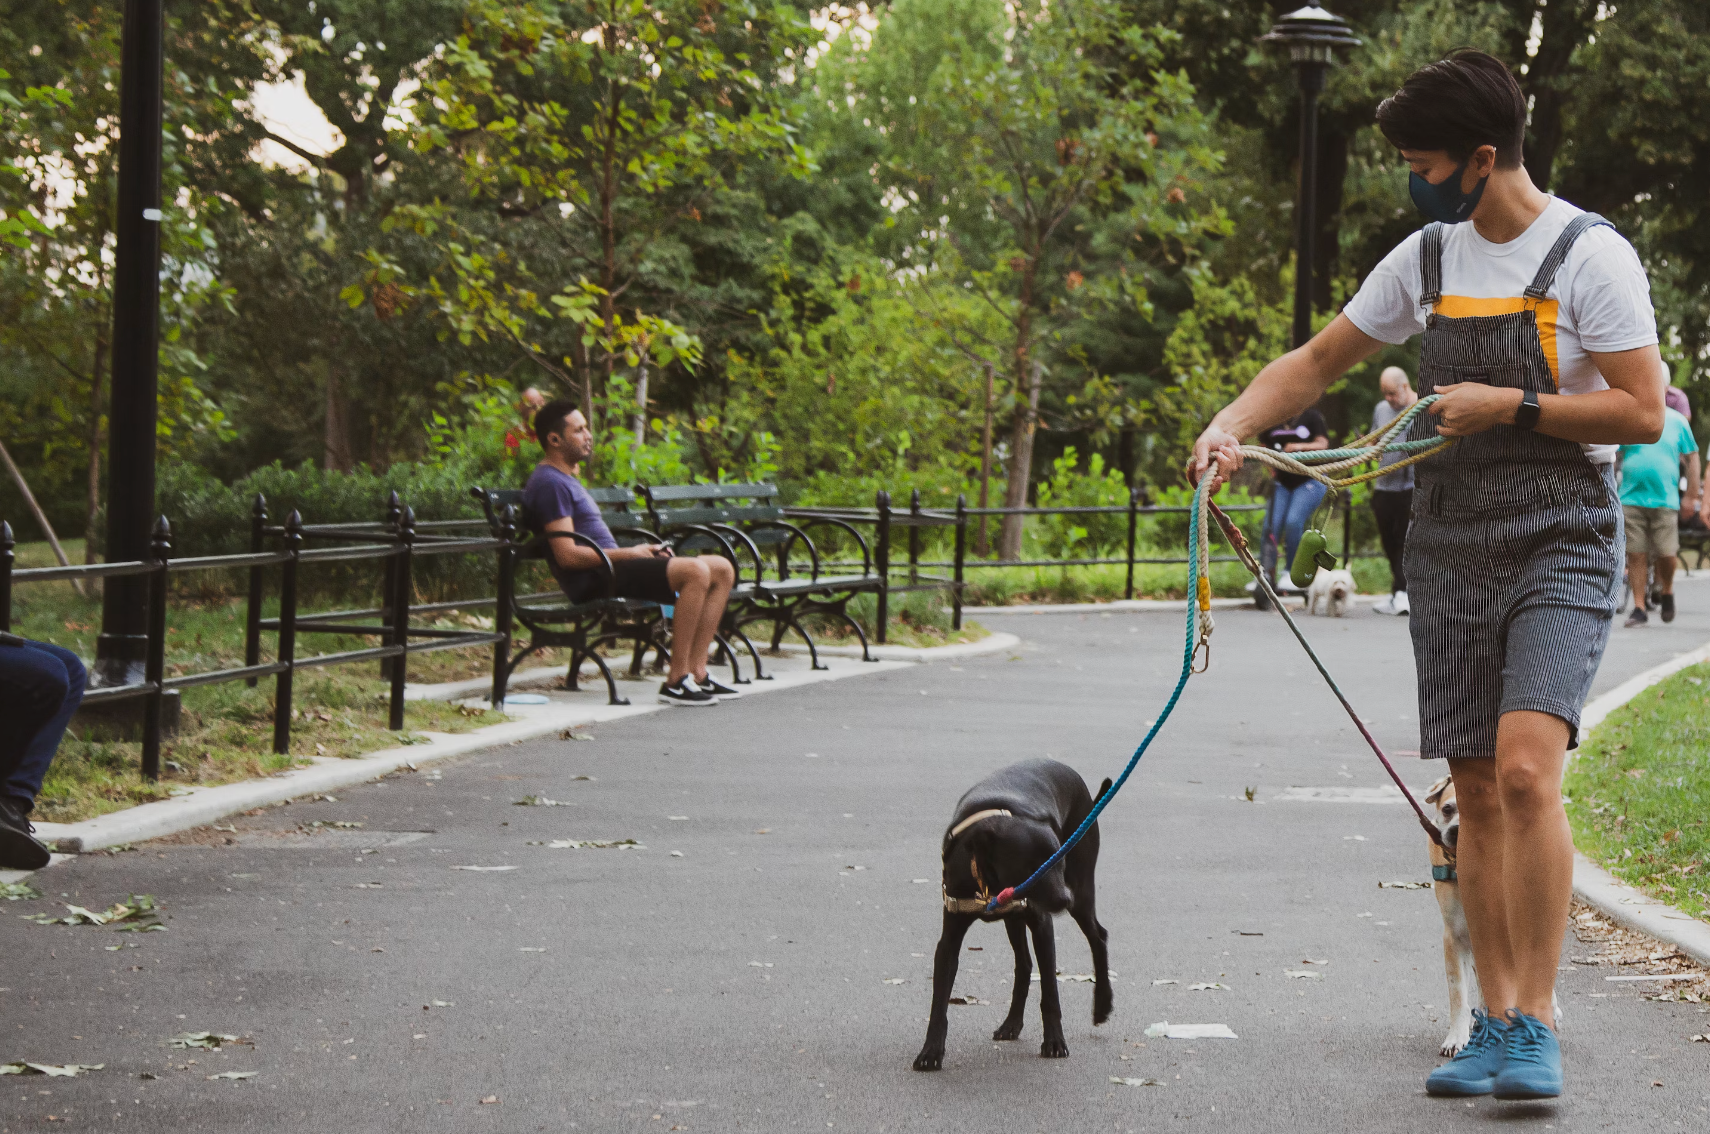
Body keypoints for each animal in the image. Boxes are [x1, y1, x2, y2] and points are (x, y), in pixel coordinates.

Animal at [916, 759, 1114, 1067]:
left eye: (1059, 861)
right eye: (1033, 868)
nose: (1064, 899)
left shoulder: (1043, 926)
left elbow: (1050, 993)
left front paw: (1054, 1042)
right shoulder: (949, 939)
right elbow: (939, 1003)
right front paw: (931, 1051)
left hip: (1081, 894)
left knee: (1098, 937)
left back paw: (1103, 1003)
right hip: (1016, 919)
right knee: (1024, 965)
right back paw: (1011, 1024)